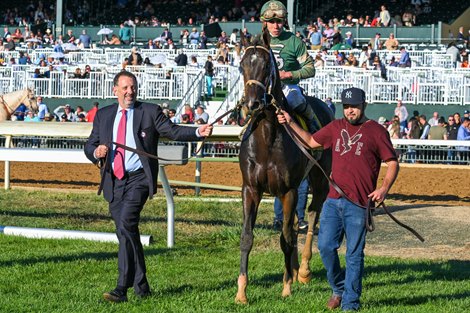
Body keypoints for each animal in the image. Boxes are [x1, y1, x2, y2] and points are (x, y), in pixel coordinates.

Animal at [235, 29, 334, 302]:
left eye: (267, 65)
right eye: (241, 65)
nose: (252, 104)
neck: (268, 138)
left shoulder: (288, 191)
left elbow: (286, 237)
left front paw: (287, 285)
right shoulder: (250, 189)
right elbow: (247, 237)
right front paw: (241, 291)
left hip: (320, 181)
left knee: (311, 216)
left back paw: (304, 270)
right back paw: (296, 268)